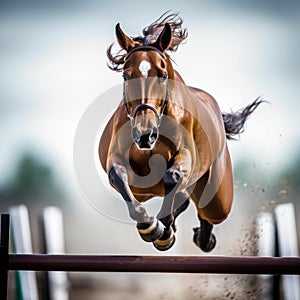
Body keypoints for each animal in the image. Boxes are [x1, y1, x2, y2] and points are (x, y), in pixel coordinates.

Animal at [99, 12, 262, 252]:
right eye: (126, 76)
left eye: (162, 75)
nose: (145, 134)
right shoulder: (118, 159)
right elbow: (118, 175)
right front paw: (150, 226)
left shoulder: (185, 156)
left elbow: (172, 176)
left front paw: (162, 231)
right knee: (185, 197)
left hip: (219, 200)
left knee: (205, 209)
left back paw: (202, 237)